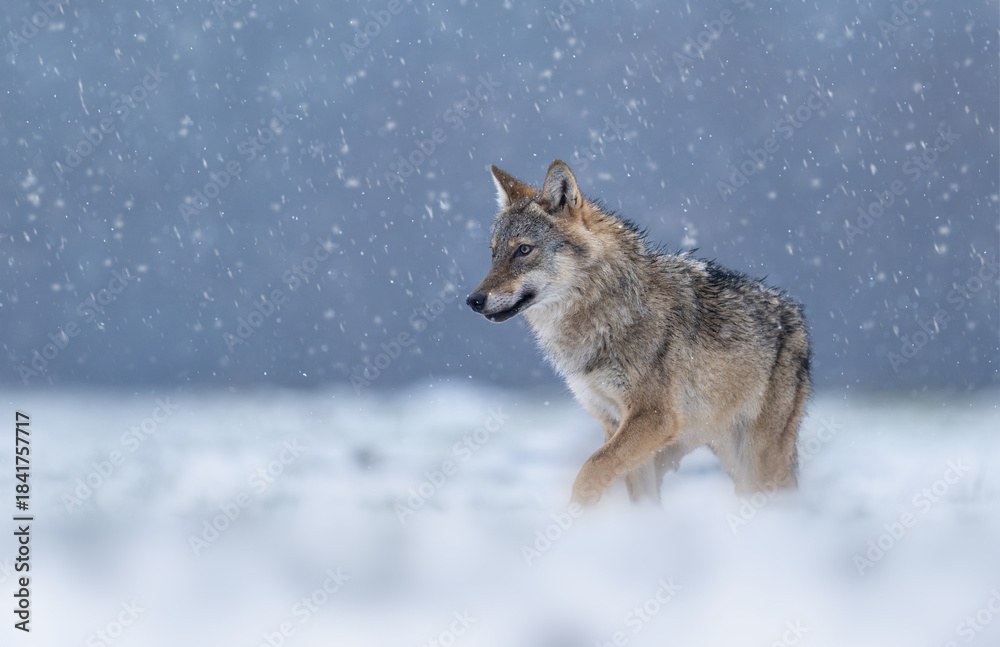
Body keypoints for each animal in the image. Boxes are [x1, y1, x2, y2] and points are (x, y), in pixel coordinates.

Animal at [466, 160, 811, 505]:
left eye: (523, 250)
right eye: (494, 253)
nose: (473, 300)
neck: (610, 314)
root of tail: (793, 314)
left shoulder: (653, 418)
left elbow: (591, 470)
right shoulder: (615, 423)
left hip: (759, 459)